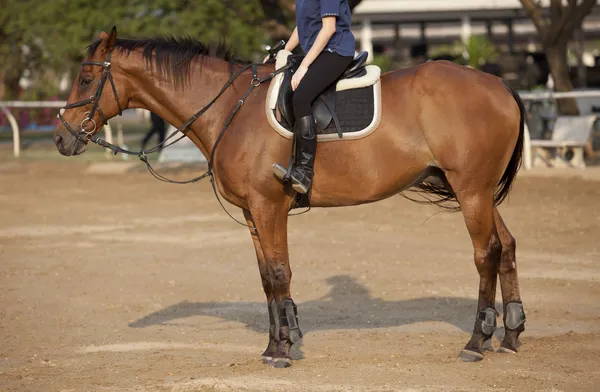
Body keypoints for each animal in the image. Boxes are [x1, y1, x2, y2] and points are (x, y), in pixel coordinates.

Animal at [54, 27, 528, 368]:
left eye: (86, 79)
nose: (61, 138)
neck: (230, 109)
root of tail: (499, 84)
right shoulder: (252, 213)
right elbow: (266, 278)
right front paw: (273, 345)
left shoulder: (269, 207)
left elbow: (281, 273)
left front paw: (285, 350)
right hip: (478, 193)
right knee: (506, 246)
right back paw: (510, 334)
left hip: (470, 192)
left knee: (486, 253)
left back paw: (477, 341)